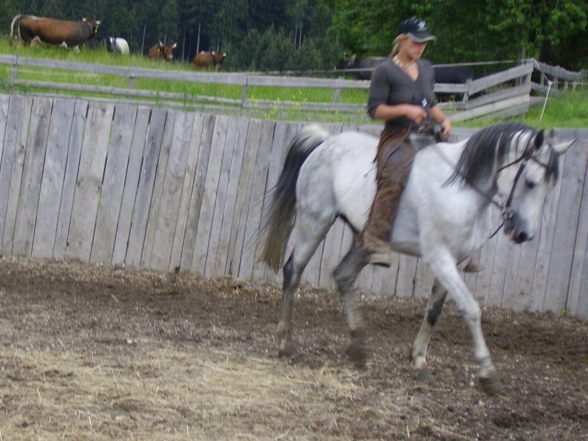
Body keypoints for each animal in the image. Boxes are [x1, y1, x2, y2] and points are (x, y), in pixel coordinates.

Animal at [260, 118, 572, 394]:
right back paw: (285, 342)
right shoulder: (440, 258)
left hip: (363, 239)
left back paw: (358, 347)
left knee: (343, 276)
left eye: (549, 186)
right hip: (315, 223)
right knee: (293, 271)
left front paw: (419, 361)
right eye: (530, 182)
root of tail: (325, 144)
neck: (459, 189)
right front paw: (488, 374)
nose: (523, 233)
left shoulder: (456, 261)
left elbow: (434, 311)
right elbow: (471, 309)